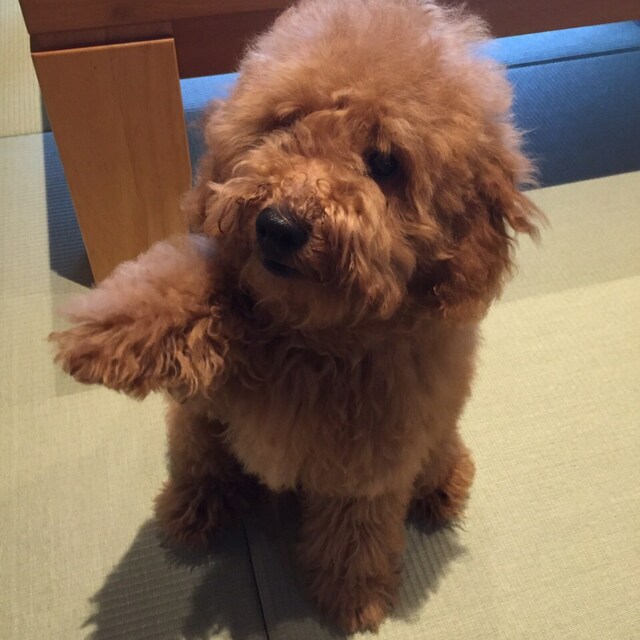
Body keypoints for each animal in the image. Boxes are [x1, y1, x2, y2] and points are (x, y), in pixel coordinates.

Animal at [52, 0, 541, 632]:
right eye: (285, 124)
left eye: (385, 162)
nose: (278, 225)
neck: (313, 339)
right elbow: (178, 286)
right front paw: (103, 335)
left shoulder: (368, 467)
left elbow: (355, 537)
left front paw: (352, 596)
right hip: (197, 426)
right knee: (201, 462)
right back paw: (195, 506)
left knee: (437, 453)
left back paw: (442, 485)